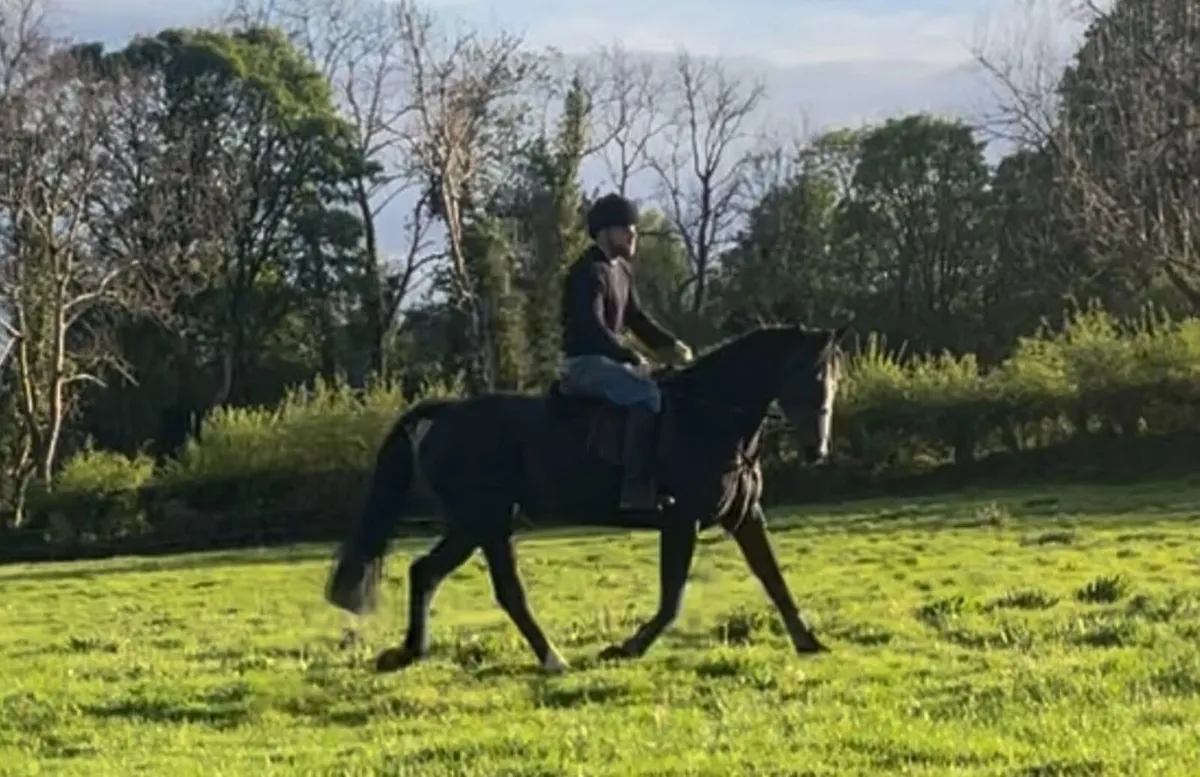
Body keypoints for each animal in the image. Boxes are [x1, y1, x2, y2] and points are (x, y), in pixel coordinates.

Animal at [326, 323, 847, 673]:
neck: (710, 415)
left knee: (426, 572)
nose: (817, 449)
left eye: (833, 379)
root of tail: (447, 415)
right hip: (486, 520)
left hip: (474, 523)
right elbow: (672, 599)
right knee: (504, 589)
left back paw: (410, 652)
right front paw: (626, 648)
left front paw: (809, 642)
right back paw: (552, 658)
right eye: (807, 375)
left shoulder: (744, 518)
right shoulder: (682, 520)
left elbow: (774, 581)